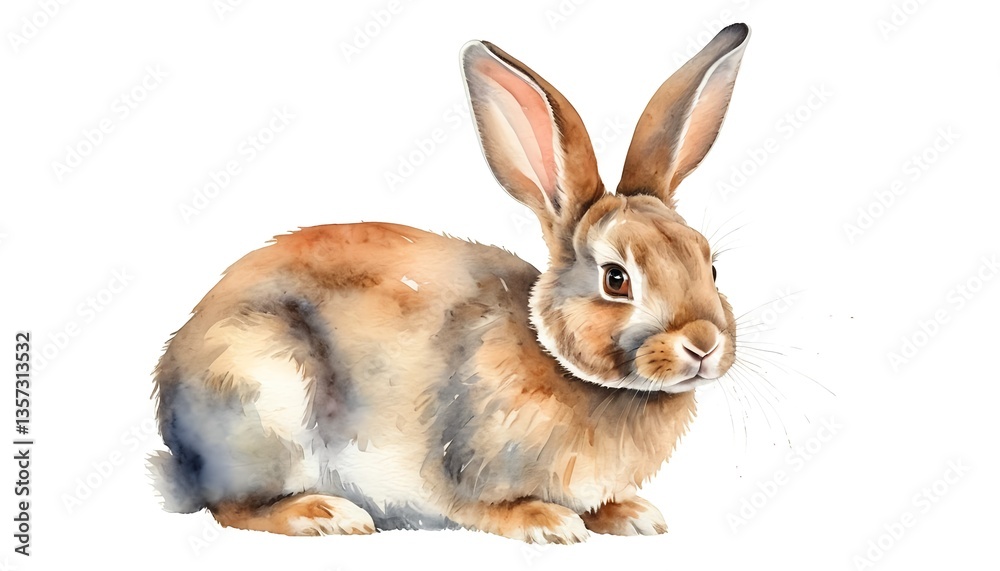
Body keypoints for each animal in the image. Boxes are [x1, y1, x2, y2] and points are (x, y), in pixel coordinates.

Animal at [149, 22, 750, 544]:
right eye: (616, 278)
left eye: (711, 266)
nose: (703, 343)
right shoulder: (462, 465)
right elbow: (487, 506)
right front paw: (549, 523)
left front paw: (633, 515)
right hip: (262, 395)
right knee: (232, 506)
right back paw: (325, 514)